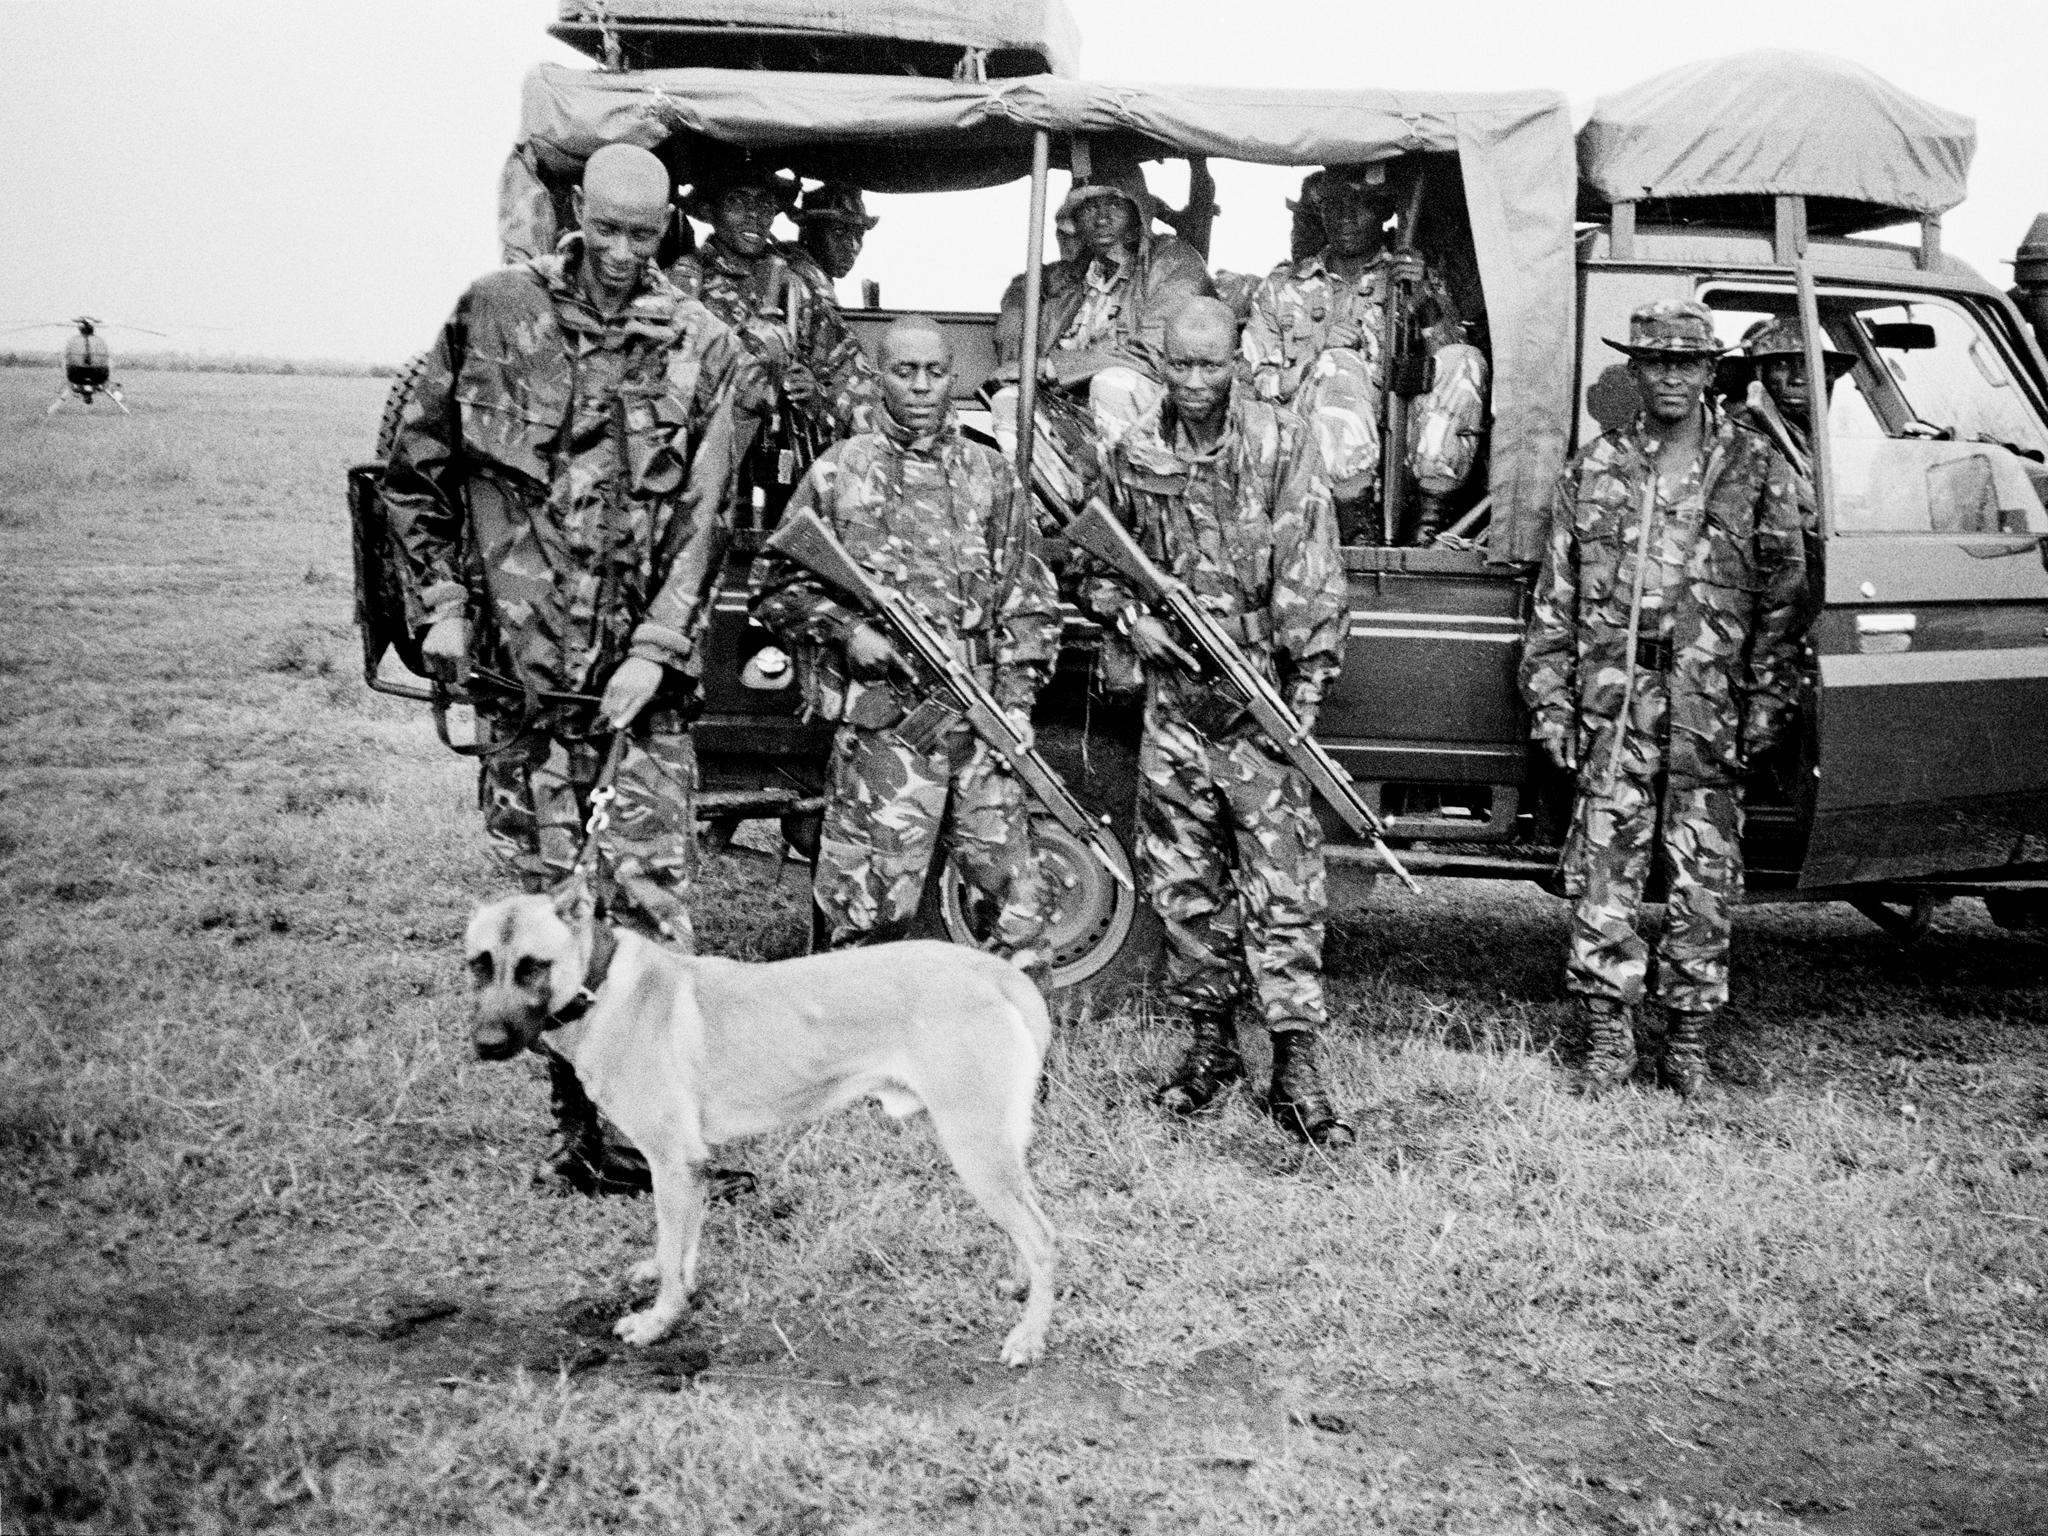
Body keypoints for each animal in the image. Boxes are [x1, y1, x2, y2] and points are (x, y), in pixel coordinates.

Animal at [468, 884, 1056, 1376]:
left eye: (533, 966)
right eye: (478, 965)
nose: (486, 1045)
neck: (602, 985)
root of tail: (997, 973)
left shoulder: (672, 1162)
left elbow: (672, 1249)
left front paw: (660, 1321)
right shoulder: (690, 1168)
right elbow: (679, 1248)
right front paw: (670, 1285)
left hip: (976, 1148)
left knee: (1044, 1237)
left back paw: (1029, 1336)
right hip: (994, 1149)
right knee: (1027, 1227)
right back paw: (1019, 1284)